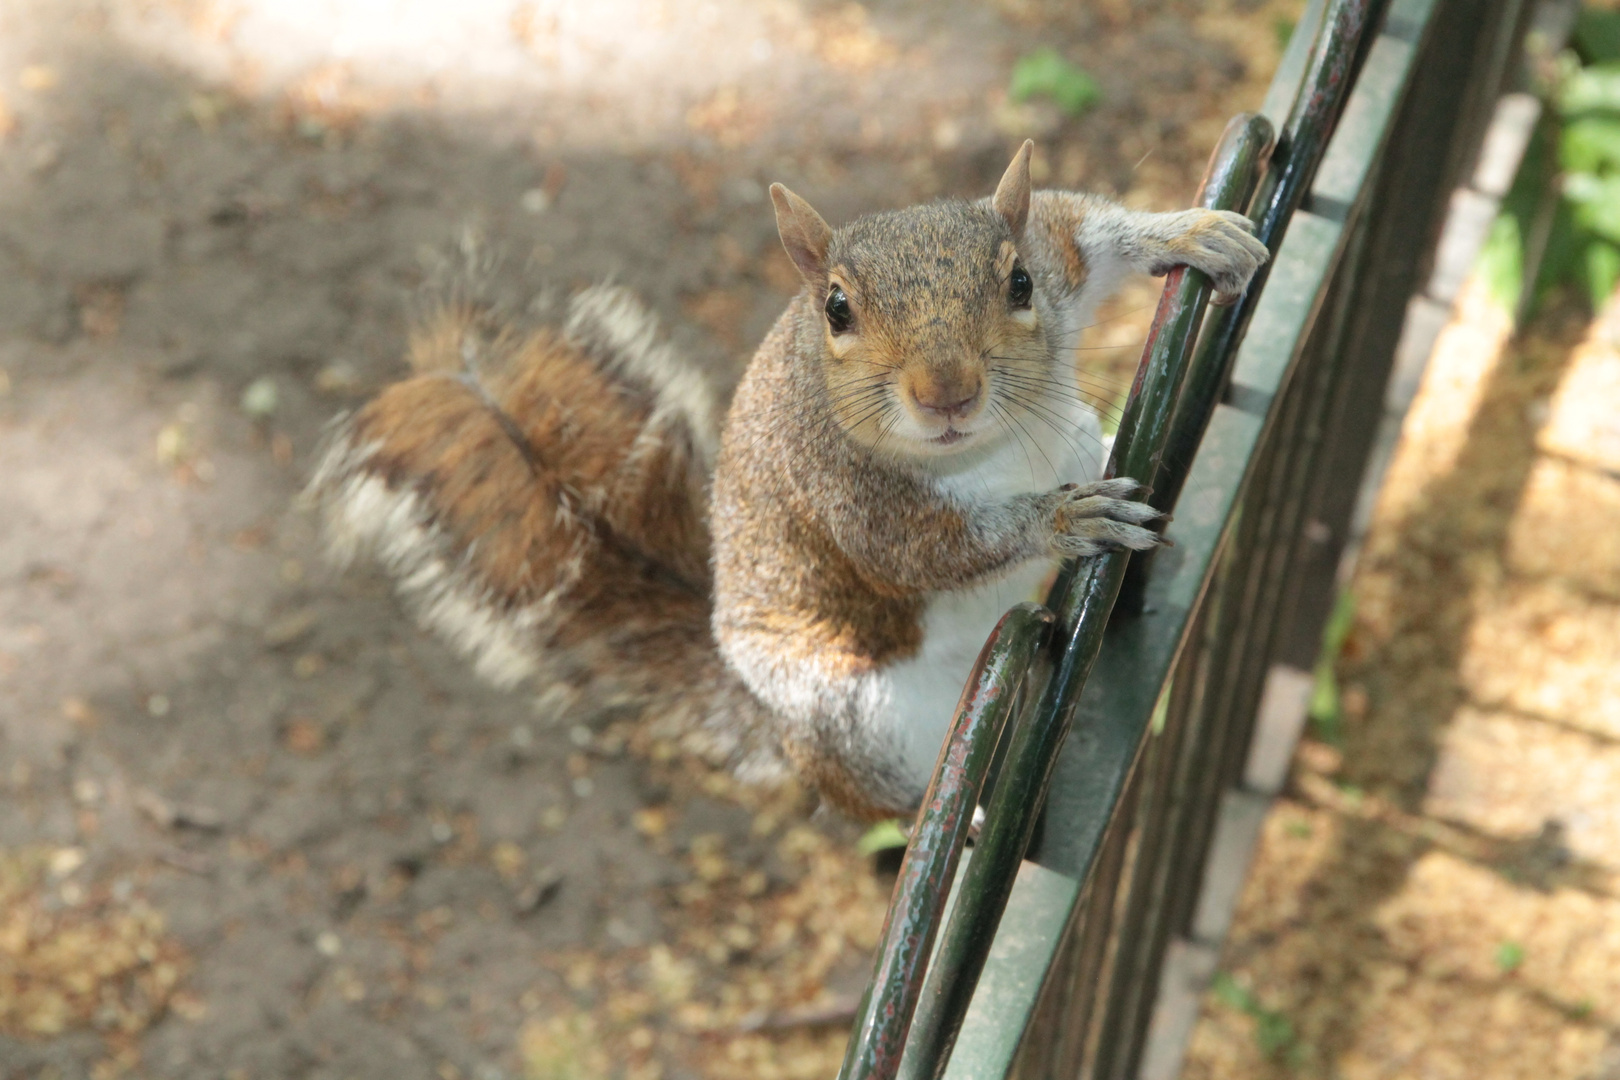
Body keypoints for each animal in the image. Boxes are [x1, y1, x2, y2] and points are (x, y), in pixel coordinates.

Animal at [304, 141, 1263, 819]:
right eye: (836, 310)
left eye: (1019, 283)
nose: (946, 391)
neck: (985, 447)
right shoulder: (849, 500)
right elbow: (928, 555)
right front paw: (1061, 521)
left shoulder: (1058, 258)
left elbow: (1080, 225)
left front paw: (1190, 232)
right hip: (862, 725)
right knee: (893, 804)